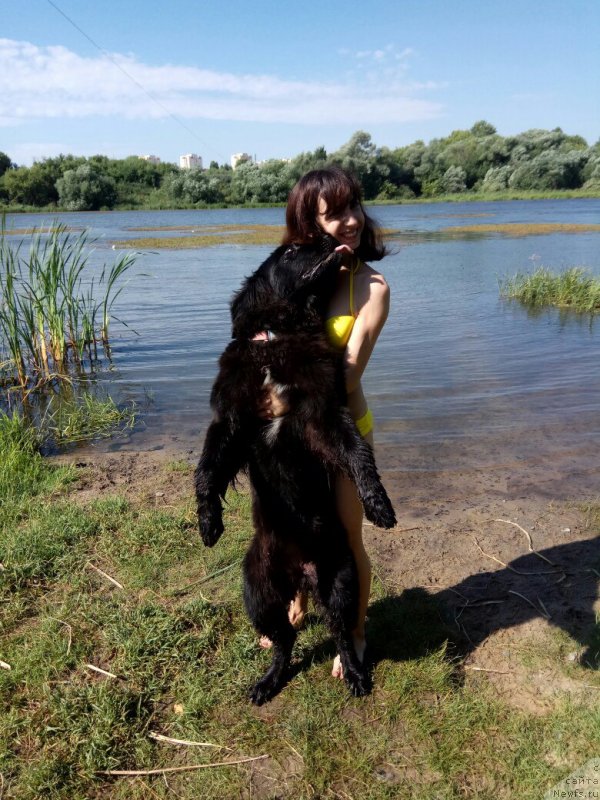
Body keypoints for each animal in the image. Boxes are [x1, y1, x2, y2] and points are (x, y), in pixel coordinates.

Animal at [195, 234, 396, 704]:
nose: (327, 238)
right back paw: (267, 682)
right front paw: (209, 523)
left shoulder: (322, 414)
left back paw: (354, 675)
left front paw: (379, 504)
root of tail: (300, 573)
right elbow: (208, 468)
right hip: (257, 588)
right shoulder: (230, 418)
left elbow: (358, 454)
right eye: (290, 251)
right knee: (284, 640)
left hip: (339, 579)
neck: (278, 337)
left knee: (340, 633)